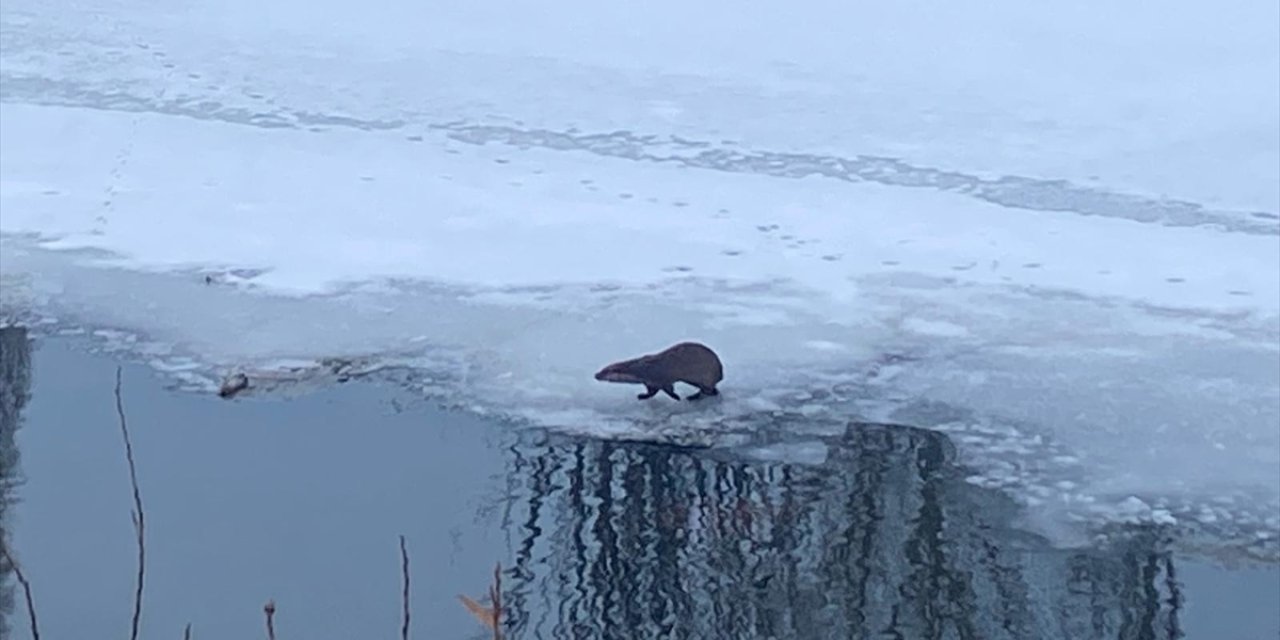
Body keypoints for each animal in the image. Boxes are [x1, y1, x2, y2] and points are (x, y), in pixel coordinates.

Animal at [593, 340, 727, 399]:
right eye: (602, 369)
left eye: (605, 371)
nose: (596, 374)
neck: (641, 370)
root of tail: (721, 373)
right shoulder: (649, 382)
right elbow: (651, 392)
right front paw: (643, 396)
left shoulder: (660, 378)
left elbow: (667, 389)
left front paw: (676, 397)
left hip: (706, 376)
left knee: (708, 390)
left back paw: (692, 397)